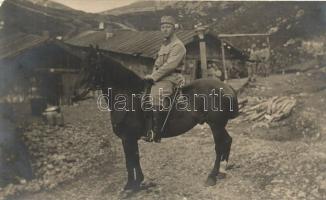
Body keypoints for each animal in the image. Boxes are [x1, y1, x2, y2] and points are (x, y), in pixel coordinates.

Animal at [73, 47, 239, 191]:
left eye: (93, 65)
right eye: (82, 65)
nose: (75, 93)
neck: (128, 96)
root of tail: (226, 87)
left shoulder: (127, 137)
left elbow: (129, 161)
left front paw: (130, 186)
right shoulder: (130, 138)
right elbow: (135, 158)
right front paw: (139, 182)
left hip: (216, 125)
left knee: (220, 146)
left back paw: (212, 176)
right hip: (219, 125)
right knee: (227, 141)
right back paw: (222, 171)